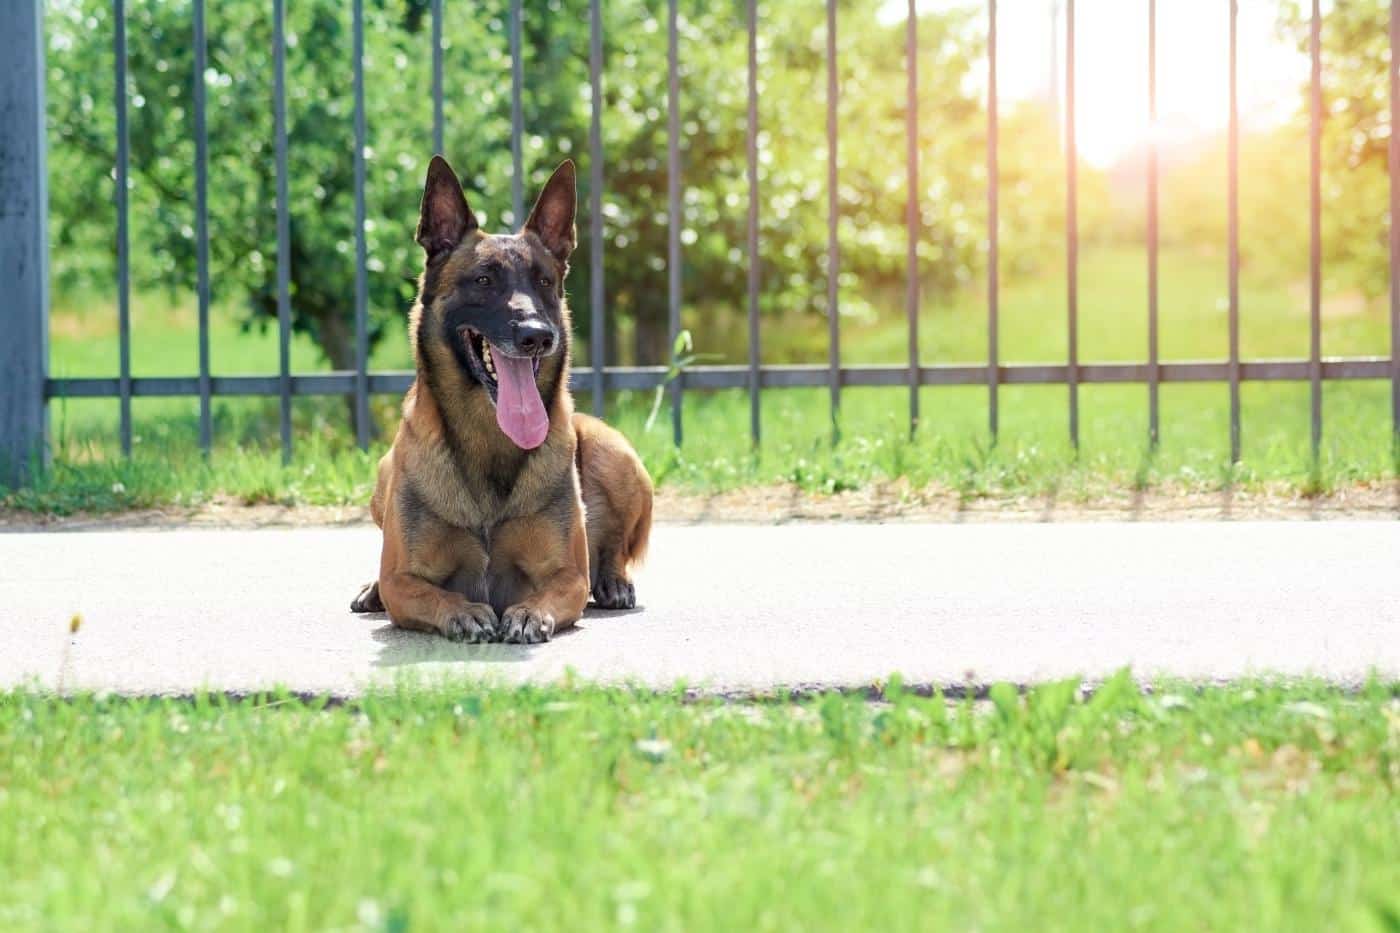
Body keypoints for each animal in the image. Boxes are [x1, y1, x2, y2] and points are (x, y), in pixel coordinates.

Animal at [350, 156, 655, 644]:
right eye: (484, 280)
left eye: (545, 282)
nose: (537, 335)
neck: (488, 437)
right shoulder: (404, 581)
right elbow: (428, 591)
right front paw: (463, 612)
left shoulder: (568, 576)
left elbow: (556, 588)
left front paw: (528, 613)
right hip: (383, 476)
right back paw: (370, 589)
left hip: (615, 452)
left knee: (613, 552)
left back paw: (614, 581)